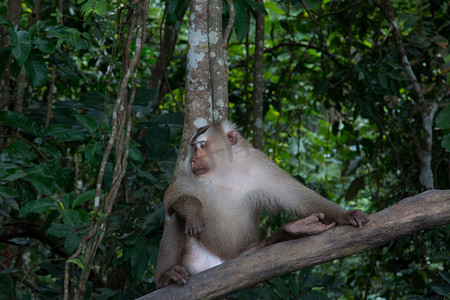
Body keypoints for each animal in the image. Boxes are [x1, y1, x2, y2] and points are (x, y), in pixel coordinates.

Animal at [156, 120, 370, 288]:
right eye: (193, 147)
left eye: (202, 145)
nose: (193, 159)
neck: (223, 172)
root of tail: (223, 263)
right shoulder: (186, 173)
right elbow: (171, 199)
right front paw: (193, 210)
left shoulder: (260, 165)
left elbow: (299, 197)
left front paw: (346, 215)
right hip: (196, 263)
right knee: (178, 217)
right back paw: (165, 277)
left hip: (245, 254)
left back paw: (292, 230)